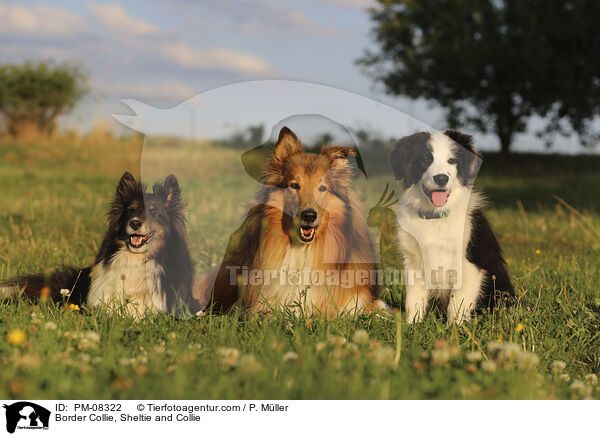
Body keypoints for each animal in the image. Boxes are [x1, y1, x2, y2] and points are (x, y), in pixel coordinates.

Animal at [390, 129, 516, 324]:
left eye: (452, 160)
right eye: (425, 160)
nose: (441, 178)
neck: (435, 217)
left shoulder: (469, 265)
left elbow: (457, 303)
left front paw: (455, 328)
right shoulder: (413, 261)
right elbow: (414, 298)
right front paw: (412, 325)